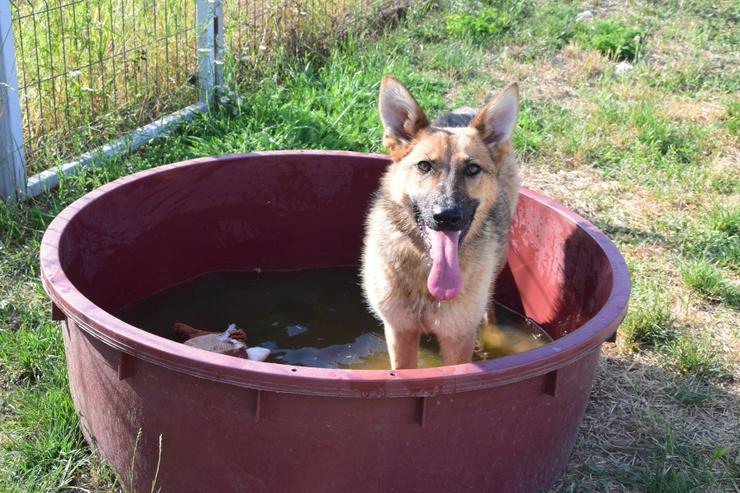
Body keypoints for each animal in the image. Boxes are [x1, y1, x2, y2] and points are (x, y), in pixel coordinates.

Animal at [360, 76, 520, 368]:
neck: (427, 272)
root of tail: (463, 113)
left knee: (489, 303)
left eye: (472, 169)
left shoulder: (458, 338)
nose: (447, 216)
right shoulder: (400, 332)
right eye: (424, 166)